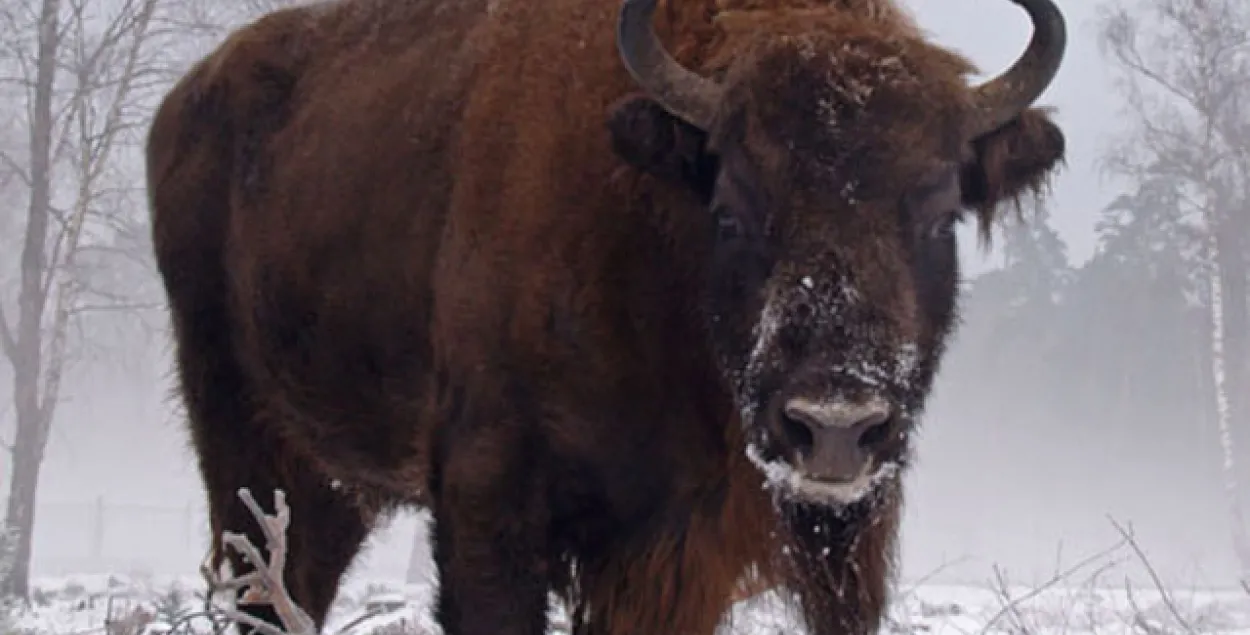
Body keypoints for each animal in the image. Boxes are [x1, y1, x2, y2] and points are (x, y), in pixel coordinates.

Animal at [143, 0, 1065, 632]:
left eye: (939, 213)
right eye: (733, 208)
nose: (835, 424)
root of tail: (185, 101)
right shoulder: (492, 509)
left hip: (333, 484)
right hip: (243, 446)